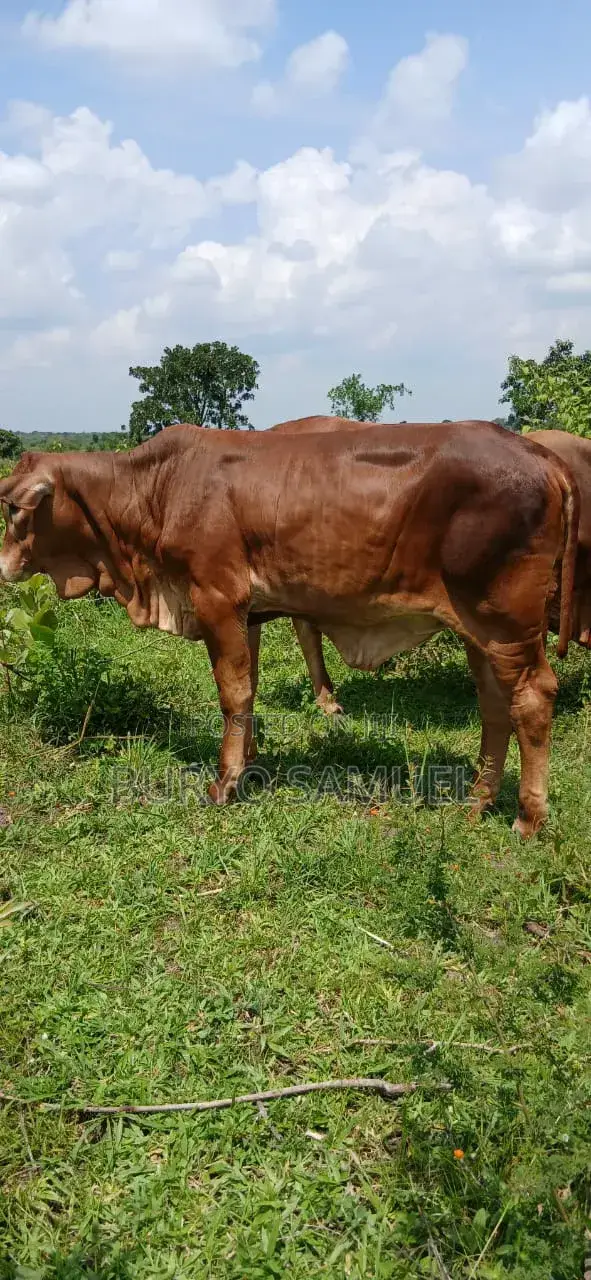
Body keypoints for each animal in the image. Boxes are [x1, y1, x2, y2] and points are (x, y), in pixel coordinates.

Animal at [0, 420, 578, 836]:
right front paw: (251, 759)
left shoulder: (216, 597)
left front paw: (226, 782)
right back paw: (477, 800)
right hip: (478, 631)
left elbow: (232, 691)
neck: (155, 490)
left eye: (14, 511)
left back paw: (527, 817)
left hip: (505, 622)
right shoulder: (248, 612)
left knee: (533, 697)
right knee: (494, 706)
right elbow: (250, 685)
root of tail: (540, 456)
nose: (3, 564)